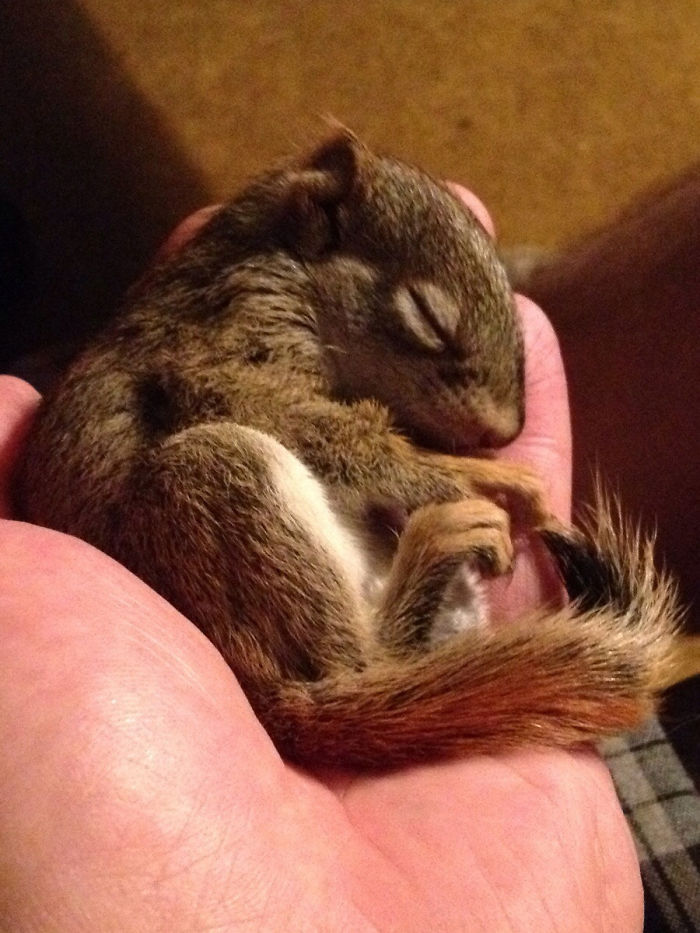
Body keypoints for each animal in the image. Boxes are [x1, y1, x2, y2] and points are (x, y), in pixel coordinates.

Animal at [16, 130, 682, 769]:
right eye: (428, 316)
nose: (503, 433)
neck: (281, 267)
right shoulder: (222, 346)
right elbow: (291, 414)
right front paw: (459, 476)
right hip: (210, 478)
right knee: (362, 659)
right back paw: (441, 537)